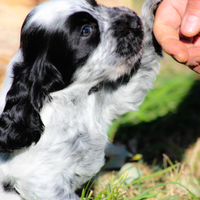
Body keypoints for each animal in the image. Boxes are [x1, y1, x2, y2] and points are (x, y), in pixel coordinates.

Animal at [0, 0, 162, 198]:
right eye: (86, 30)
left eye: (96, 4)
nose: (133, 19)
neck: (70, 101)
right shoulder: (42, 182)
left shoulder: (110, 98)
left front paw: (152, 12)